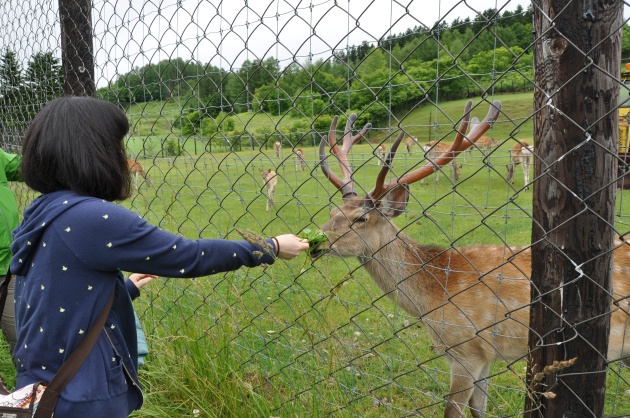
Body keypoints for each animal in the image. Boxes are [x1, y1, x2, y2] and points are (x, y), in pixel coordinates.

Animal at [314, 101, 630, 418]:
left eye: (361, 218)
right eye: (331, 213)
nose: (315, 243)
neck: (433, 297)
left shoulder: (466, 350)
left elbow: (453, 410)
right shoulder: (485, 356)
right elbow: (479, 409)